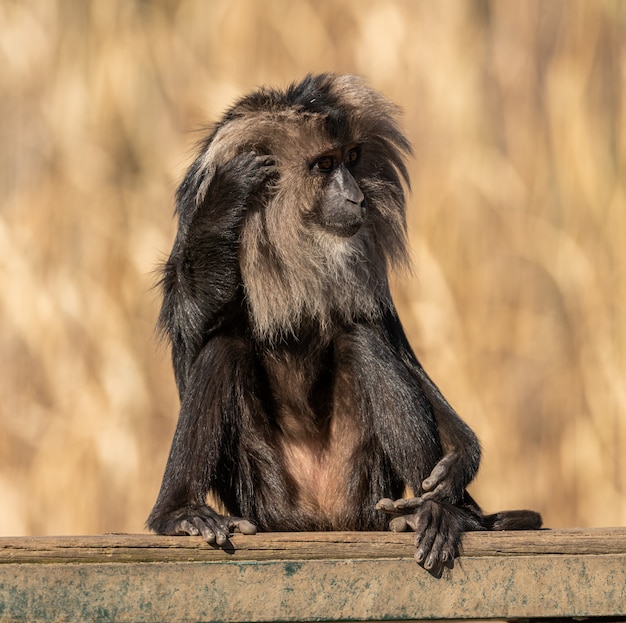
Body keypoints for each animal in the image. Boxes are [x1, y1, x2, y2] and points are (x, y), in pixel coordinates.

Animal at [147, 70, 540, 572]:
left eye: (352, 158)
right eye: (323, 165)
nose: (356, 197)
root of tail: (323, 516)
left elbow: (392, 343)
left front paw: (459, 464)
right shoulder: (193, 214)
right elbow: (191, 329)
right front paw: (226, 196)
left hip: (365, 485)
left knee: (363, 339)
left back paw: (438, 512)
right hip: (263, 495)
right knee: (222, 348)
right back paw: (178, 514)